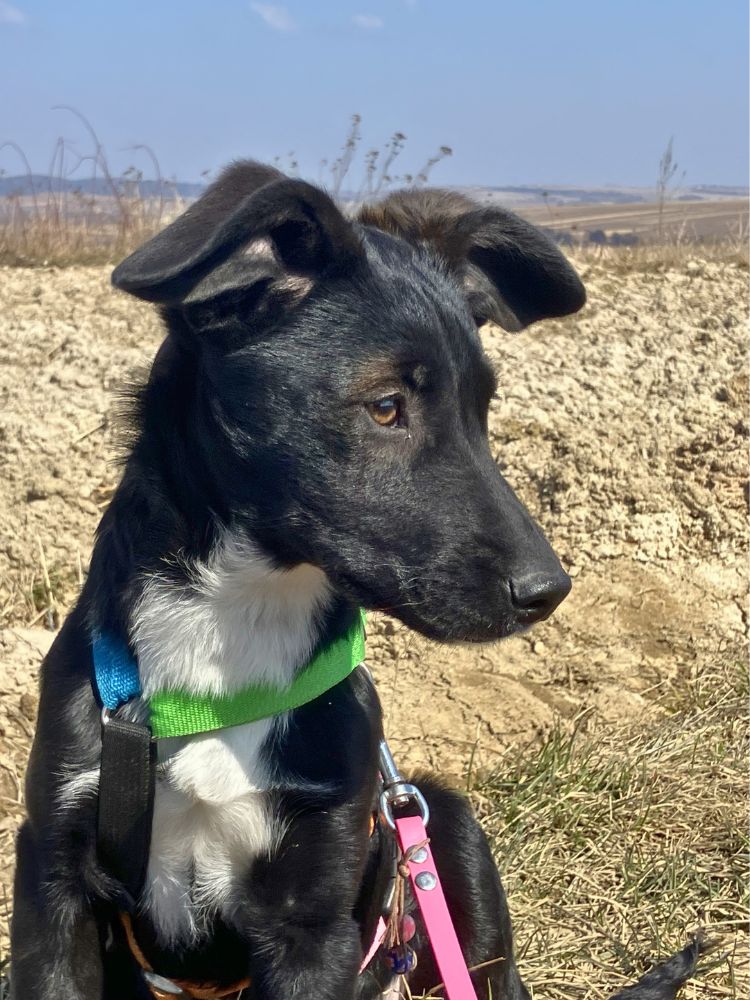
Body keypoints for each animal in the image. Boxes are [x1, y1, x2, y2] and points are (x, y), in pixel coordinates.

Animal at [10, 162, 701, 999]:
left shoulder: (314, 921)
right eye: (385, 405)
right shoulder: (51, 879)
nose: (548, 592)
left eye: (483, 409)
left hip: (446, 828)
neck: (237, 622)